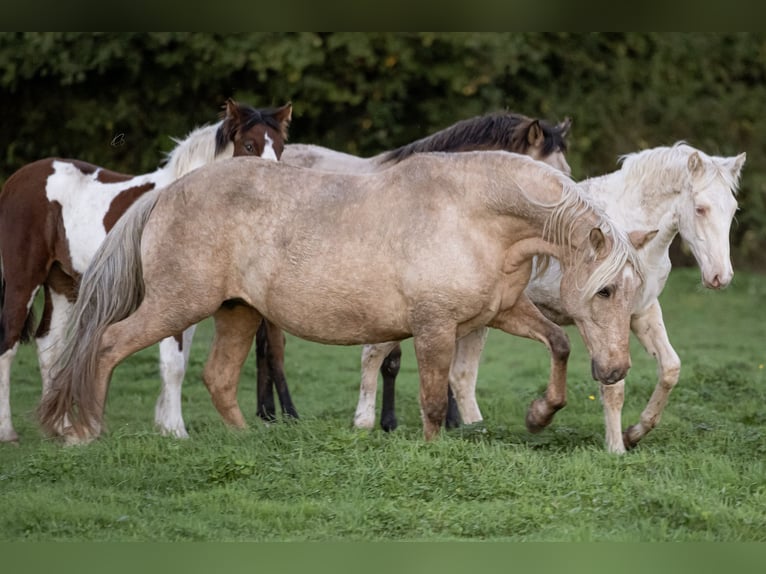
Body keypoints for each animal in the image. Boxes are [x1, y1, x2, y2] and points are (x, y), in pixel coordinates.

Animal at [0, 99, 292, 444]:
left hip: (62, 283)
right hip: (24, 280)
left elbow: (178, 362)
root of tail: (16, 181)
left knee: (49, 345)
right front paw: (177, 430)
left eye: (281, 147)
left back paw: (60, 427)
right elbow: (173, 363)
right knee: (8, 344)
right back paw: (8, 431)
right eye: (248, 145)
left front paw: (166, 426)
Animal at [39, 152, 652, 446]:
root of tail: (166, 194)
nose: (616, 370)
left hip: (238, 312)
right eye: (603, 290)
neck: (476, 212)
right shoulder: (435, 327)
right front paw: (433, 450)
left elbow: (558, 344)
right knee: (109, 344)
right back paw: (87, 430)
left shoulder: (499, 312)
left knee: (217, 376)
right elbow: (433, 401)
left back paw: (250, 442)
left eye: (631, 293)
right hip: (177, 305)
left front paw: (539, 415)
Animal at [356, 143, 748, 454]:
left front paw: (635, 433)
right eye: (700, 208)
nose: (720, 277)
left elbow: (670, 369)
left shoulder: (641, 312)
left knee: (459, 376)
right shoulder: (599, 318)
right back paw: (364, 424)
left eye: (732, 209)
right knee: (376, 353)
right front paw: (616, 448)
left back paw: (476, 431)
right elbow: (613, 386)